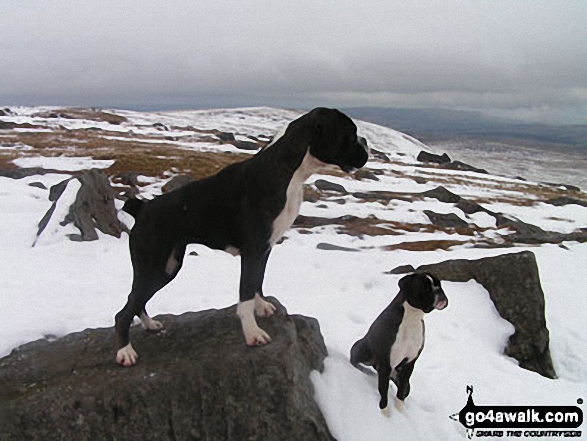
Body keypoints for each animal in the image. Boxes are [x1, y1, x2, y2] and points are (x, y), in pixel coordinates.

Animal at [117, 106, 370, 364]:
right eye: (350, 134)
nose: (366, 143)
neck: (289, 171)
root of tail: (143, 208)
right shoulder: (254, 249)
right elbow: (246, 292)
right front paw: (253, 333)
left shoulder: (264, 249)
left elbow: (258, 280)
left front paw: (262, 307)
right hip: (153, 266)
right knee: (125, 310)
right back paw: (125, 352)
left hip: (167, 267)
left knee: (136, 301)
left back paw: (149, 325)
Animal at [352, 272, 448, 410]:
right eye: (425, 287)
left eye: (439, 284)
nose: (439, 291)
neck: (412, 316)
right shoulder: (386, 362)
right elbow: (383, 390)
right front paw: (384, 411)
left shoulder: (409, 364)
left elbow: (401, 390)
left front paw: (400, 409)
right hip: (361, 349)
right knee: (355, 361)